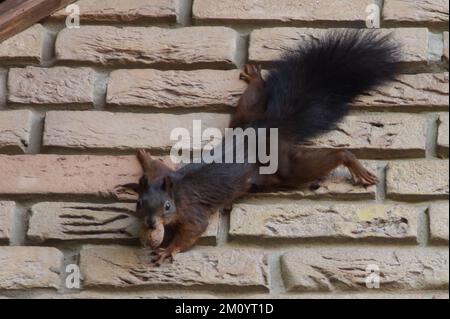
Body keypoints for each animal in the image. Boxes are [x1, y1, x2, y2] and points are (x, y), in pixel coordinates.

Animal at [125, 30, 400, 266]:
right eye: (138, 204)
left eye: (167, 207)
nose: (151, 225)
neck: (177, 192)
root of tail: (269, 127)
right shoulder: (164, 176)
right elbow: (157, 167)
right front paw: (145, 157)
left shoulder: (193, 211)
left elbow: (193, 231)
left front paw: (169, 250)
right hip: (245, 117)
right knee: (252, 99)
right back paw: (255, 78)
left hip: (283, 165)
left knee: (325, 159)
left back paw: (352, 163)